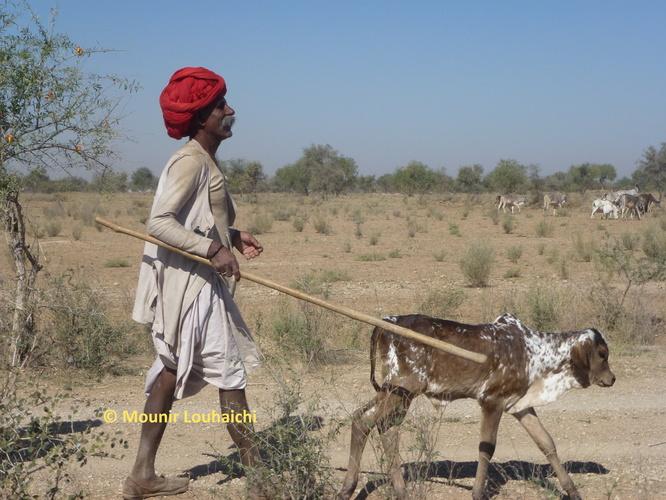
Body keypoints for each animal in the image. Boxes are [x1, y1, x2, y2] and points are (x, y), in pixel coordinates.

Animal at [340, 312, 616, 500]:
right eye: (602, 354)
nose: (612, 378)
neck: (535, 353)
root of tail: (385, 323)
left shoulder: (520, 406)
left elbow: (547, 443)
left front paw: (573, 491)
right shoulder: (492, 401)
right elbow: (487, 448)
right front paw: (477, 492)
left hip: (397, 393)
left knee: (380, 426)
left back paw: (398, 490)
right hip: (400, 391)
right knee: (365, 422)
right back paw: (349, 487)